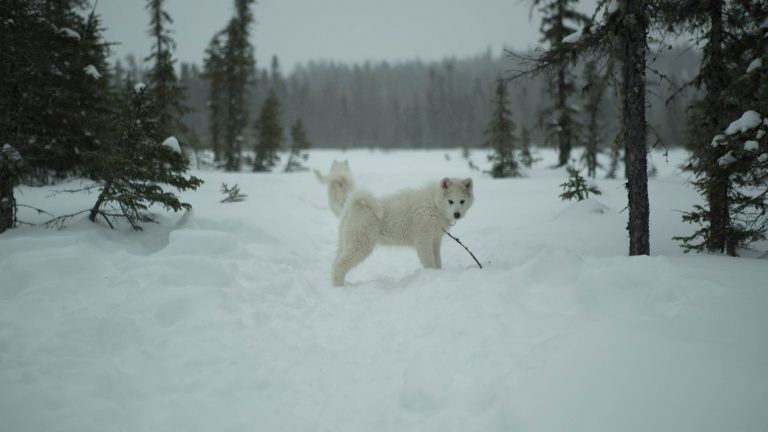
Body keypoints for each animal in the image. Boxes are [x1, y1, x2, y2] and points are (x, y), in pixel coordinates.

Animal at [332, 177, 474, 288]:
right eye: (450, 201)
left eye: (462, 201)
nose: (457, 214)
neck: (434, 203)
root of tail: (354, 206)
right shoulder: (423, 239)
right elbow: (429, 261)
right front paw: (433, 274)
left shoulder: (435, 240)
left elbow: (438, 260)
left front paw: (439, 272)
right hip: (360, 244)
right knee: (340, 265)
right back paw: (340, 287)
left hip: (346, 242)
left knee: (334, 264)